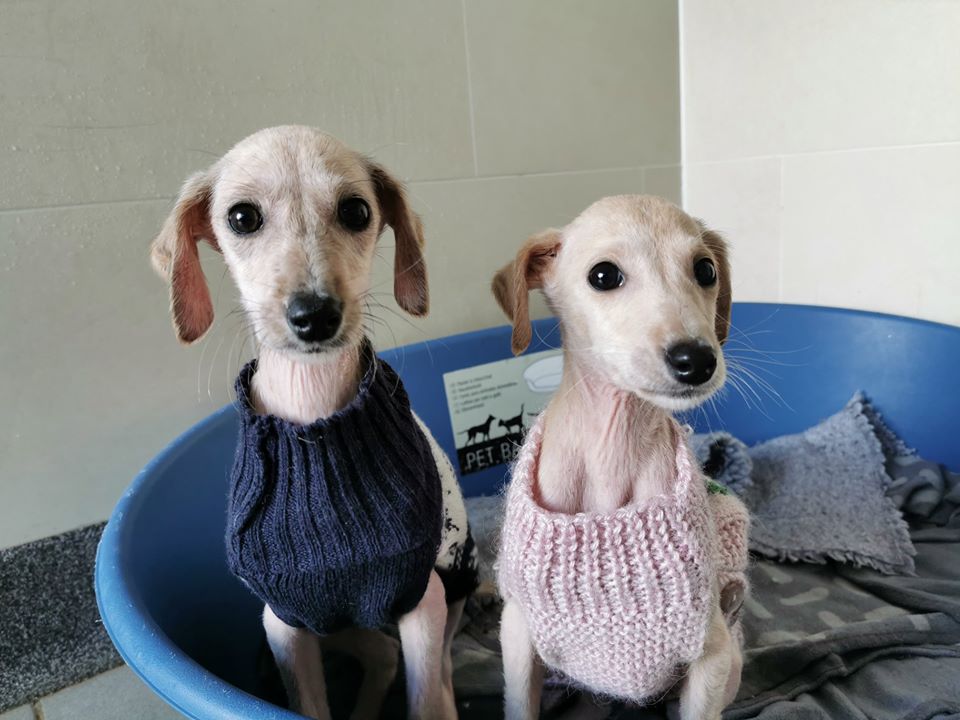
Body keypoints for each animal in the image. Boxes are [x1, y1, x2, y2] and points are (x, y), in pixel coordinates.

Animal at [150, 126, 476, 716]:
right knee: (382, 656)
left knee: (431, 674)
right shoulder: (283, 621)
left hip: (443, 601)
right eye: (241, 217)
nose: (314, 315)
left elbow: (425, 697)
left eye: (356, 210)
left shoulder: (422, 600)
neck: (315, 422)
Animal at [496, 197, 752, 720]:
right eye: (603, 275)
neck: (610, 454)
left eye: (706, 270)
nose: (697, 361)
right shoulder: (516, 634)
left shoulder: (712, 651)